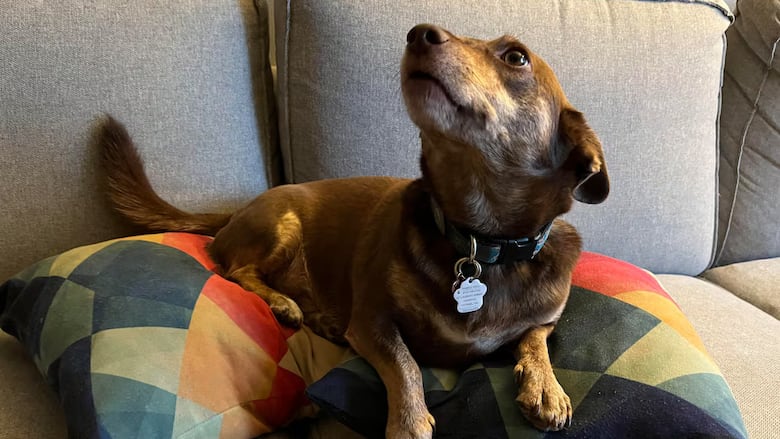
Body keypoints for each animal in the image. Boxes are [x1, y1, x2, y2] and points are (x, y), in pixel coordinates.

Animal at [99, 24, 608, 439]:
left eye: (517, 57)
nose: (418, 33)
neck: (481, 242)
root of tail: (233, 213)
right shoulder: (372, 320)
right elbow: (406, 364)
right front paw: (408, 422)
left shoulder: (546, 317)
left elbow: (535, 337)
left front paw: (546, 386)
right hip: (282, 223)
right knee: (235, 269)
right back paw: (283, 303)